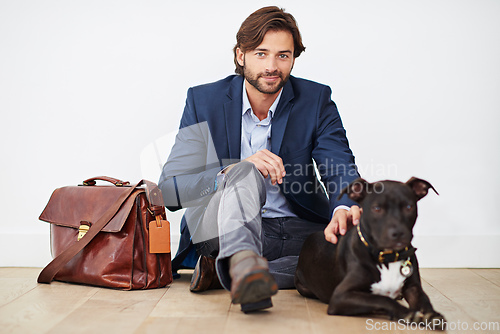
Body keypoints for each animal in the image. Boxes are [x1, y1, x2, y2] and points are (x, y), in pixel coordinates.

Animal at [292, 177, 446, 328]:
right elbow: (381, 299)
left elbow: (424, 299)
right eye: (377, 208)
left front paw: (432, 314)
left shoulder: (414, 288)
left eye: (409, 207)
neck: (388, 257)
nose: (398, 233)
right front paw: (406, 313)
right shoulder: (340, 296)